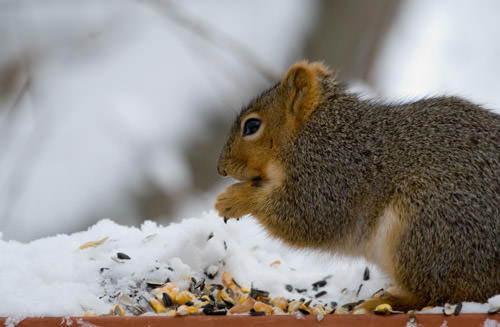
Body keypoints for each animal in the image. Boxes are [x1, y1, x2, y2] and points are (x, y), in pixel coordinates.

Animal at [214, 60, 500, 314]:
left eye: (252, 126)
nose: (221, 169)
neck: (311, 132)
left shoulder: (331, 174)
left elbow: (307, 217)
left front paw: (234, 199)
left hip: (425, 226)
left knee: (435, 294)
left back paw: (382, 302)